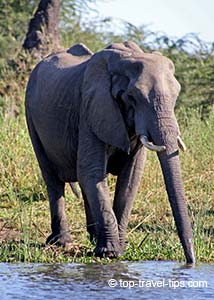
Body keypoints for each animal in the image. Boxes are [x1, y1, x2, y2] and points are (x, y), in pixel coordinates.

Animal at [25, 41, 196, 264]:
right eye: (133, 97)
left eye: (176, 96)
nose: (190, 261)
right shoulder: (90, 109)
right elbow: (91, 172)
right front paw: (110, 254)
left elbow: (130, 178)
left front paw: (118, 249)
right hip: (31, 117)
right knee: (52, 178)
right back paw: (61, 242)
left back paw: (92, 237)